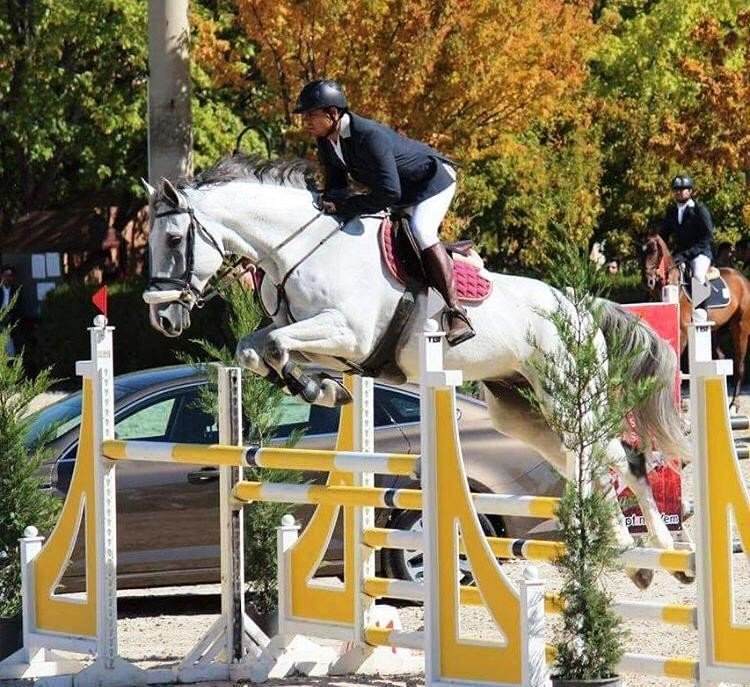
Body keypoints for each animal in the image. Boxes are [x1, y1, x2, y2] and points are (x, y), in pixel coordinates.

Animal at [142, 156, 692, 592]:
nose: (164, 318)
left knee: (621, 459)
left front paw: (316, 388)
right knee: (589, 462)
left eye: (174, 237)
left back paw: (670, 556)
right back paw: (637, 562)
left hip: (568, 394)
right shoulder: (321, 340)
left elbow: (275, 345)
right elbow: (256, 348)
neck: (301, 250)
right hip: (519, 409)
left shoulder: (348, 333)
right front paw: (319, 388)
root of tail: (578, 304)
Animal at [640, 235, 750, 408]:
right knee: (721, 358)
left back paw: (734, 403)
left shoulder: (683, 332)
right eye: (641, 252)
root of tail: (743, 279)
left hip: (740, 328)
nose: (647, 281)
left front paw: (680, 403)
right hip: (716, 331)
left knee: (739, 364)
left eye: (654, 251)